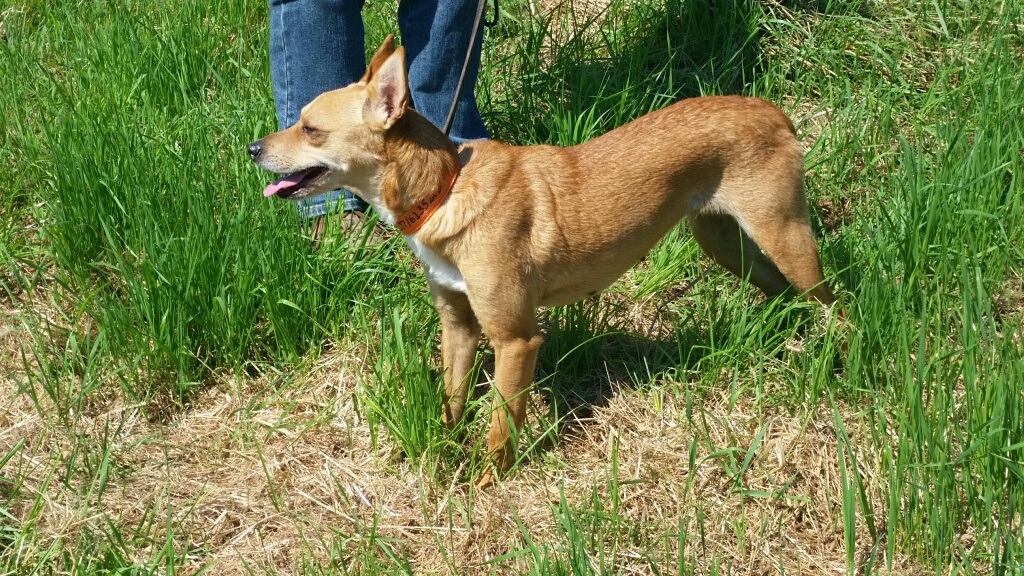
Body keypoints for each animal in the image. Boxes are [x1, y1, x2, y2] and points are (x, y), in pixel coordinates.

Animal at [249, 36, 837, 486]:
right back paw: (781, 336)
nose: (253, 149)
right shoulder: (459, 326)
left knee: (834, 301)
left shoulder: (515, 340)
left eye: (310, 129)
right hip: (724, 241)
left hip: (786, 237)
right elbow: (452, 398)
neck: (444, 189)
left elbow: (501, 423)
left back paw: (834, 356)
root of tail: (771, 110)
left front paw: (487, 483)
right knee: (781, 292)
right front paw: (446, 447)